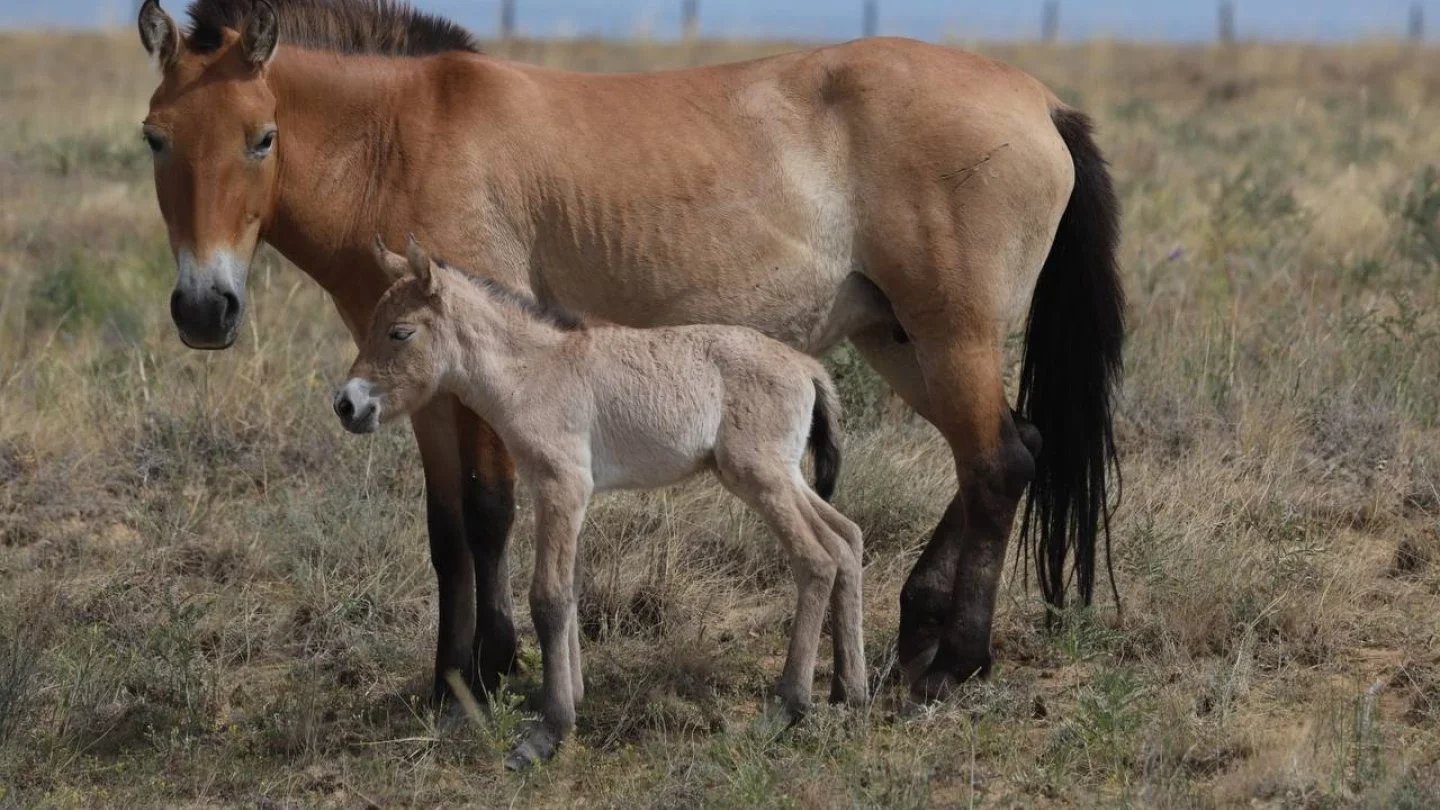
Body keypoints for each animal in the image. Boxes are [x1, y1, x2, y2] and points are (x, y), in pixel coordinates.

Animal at [136, 0, 1123, 705]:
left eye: (261, 137)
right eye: (154, 138)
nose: (204, 308)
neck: (402, 139)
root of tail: (1040, 101)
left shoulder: (487, 377)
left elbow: (489, 513)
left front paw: (492, 671)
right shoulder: (422, 392)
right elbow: (446, 531)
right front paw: (446, 681)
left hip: (951, 336)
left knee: (997, 463)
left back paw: (953, 662)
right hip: (899, 341)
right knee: (1013, 449)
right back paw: (915, 632)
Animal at [334, 237, 864, 767]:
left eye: (401, 332)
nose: (347, 405)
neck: (532, 373)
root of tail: (807, 366)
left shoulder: (562, 486)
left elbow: (548, 597)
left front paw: (548, 733)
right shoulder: (562, 494)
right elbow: (569, 590)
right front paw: (571, 699)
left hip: (760, 476)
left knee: (816, 559)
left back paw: (788, 707)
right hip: (784, 475)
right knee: (846, 539)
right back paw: (849, 692)